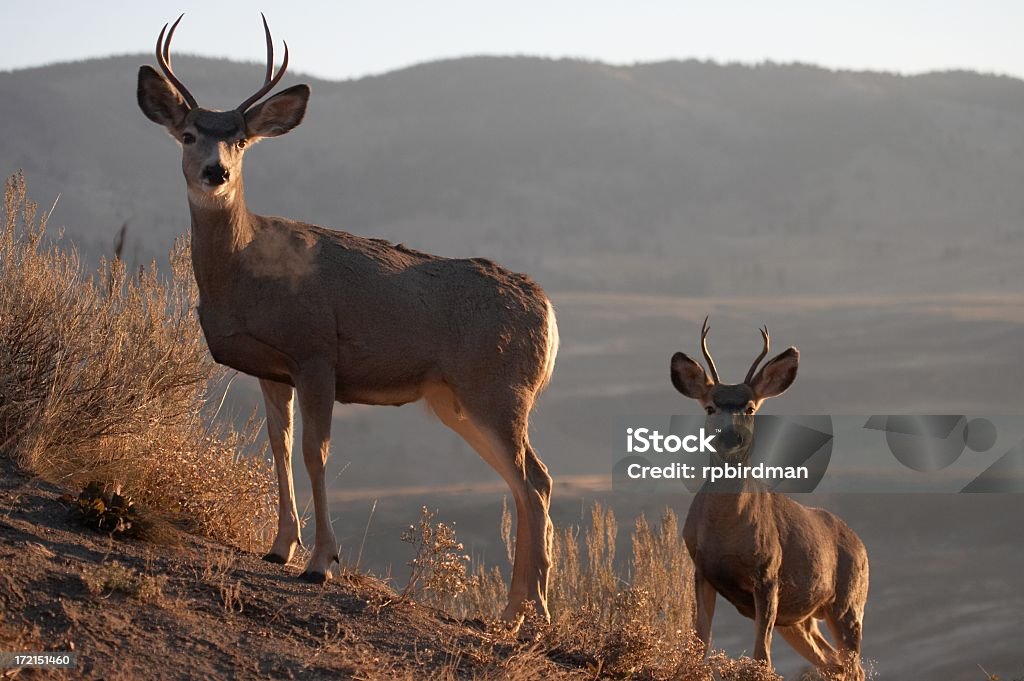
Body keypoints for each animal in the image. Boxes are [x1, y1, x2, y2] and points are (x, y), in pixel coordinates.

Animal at [137, 14, 561, 622]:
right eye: (189, 134)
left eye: (239, 139)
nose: (215, 173)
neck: (245, 271)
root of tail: (546, 310)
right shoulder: (271, 368)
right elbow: (278, 446)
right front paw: (279, 547)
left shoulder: (316, 352)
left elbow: (316, 453)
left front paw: (320, 562)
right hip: (456, 399)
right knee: (530, 481)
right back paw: (519, 609)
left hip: (498, 387)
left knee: (533, 481)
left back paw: (528, 615)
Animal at [671, 319, 872, 679]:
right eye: (710, 406)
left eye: (750, 408)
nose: (731, 437)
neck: (726, 531)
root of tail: (861, 546)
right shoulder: (701, 570)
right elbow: (699, 645)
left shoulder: (767, 573)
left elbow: (761, 656)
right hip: (799, 621)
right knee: (832, 663)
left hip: (848, 604)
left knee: (853, 667)